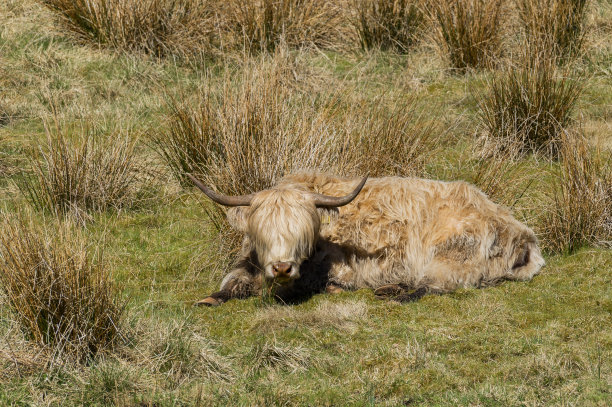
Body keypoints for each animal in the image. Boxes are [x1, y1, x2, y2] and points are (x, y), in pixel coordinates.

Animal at [189, 172, 544, 306]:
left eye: (301, 234)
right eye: (262, 233)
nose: (281, 268)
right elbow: (231, 280)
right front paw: (211, 297)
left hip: (450, 256)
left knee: (436, 284)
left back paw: (394, 293)